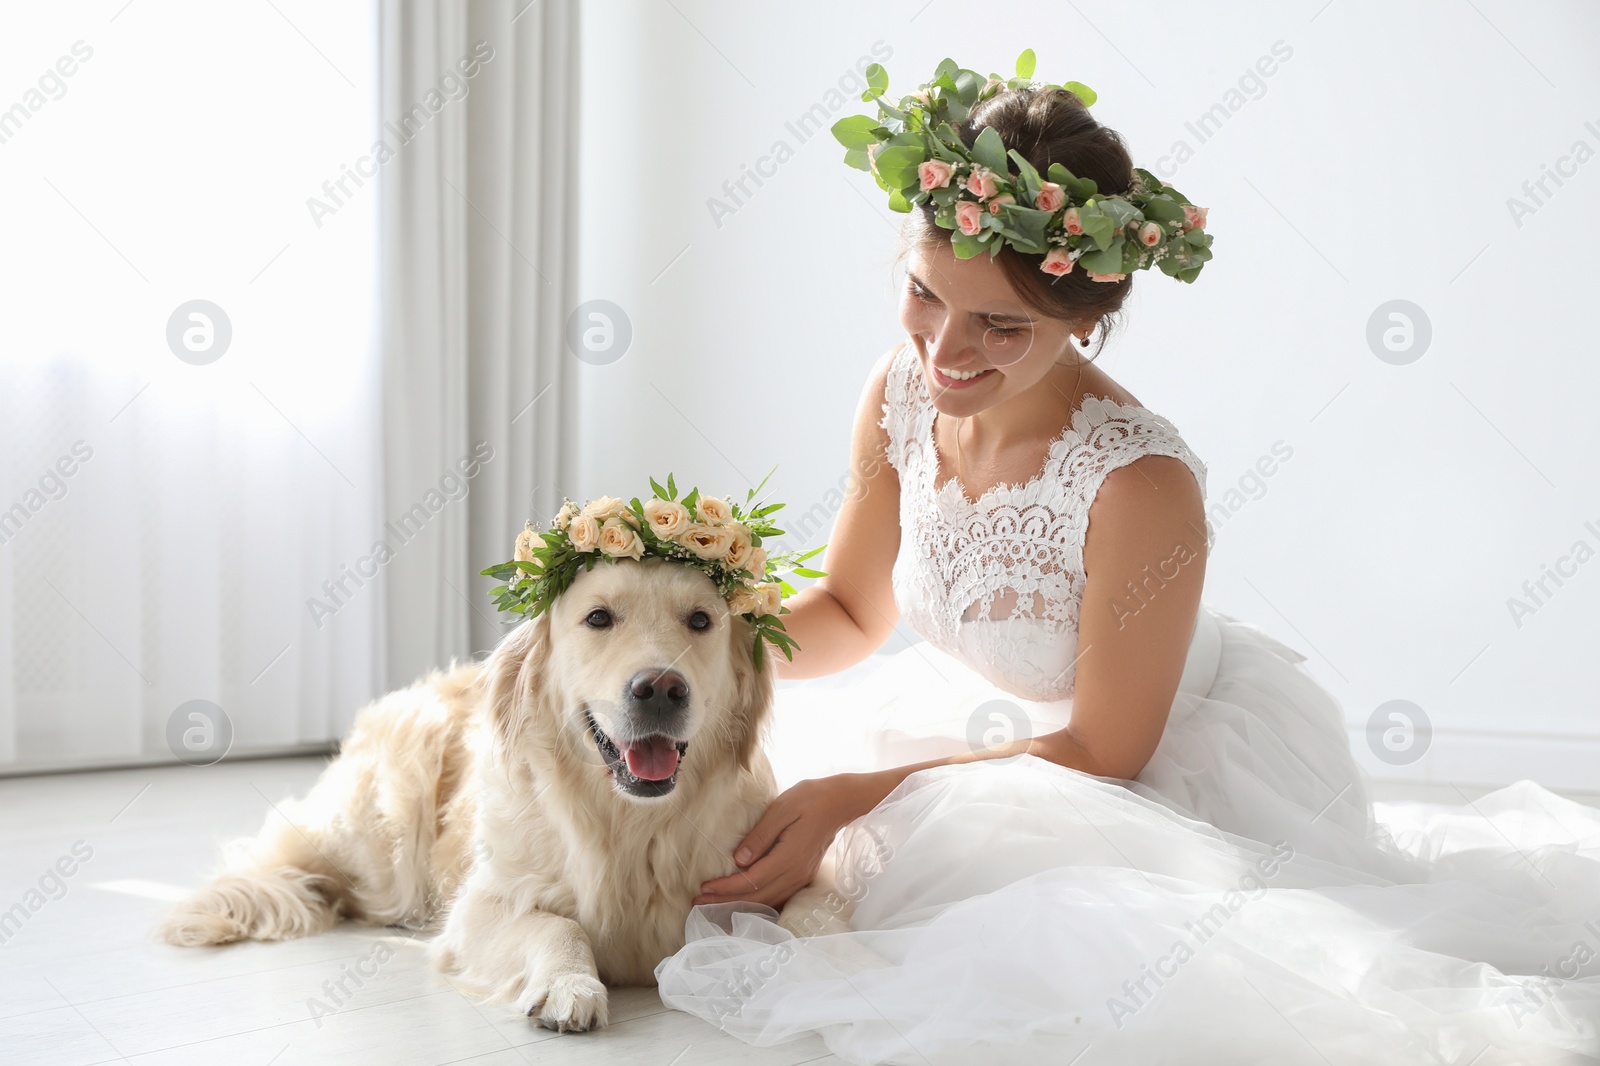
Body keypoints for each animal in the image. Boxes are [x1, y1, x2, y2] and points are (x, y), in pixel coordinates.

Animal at [159, 557, 838, 1030]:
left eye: (700, 620)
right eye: (599, 618)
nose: (661, 688)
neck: (630, 823)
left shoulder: (785, 867)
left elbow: (814, 918)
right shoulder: (481, 907)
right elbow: (558, 928)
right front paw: (570, 986)